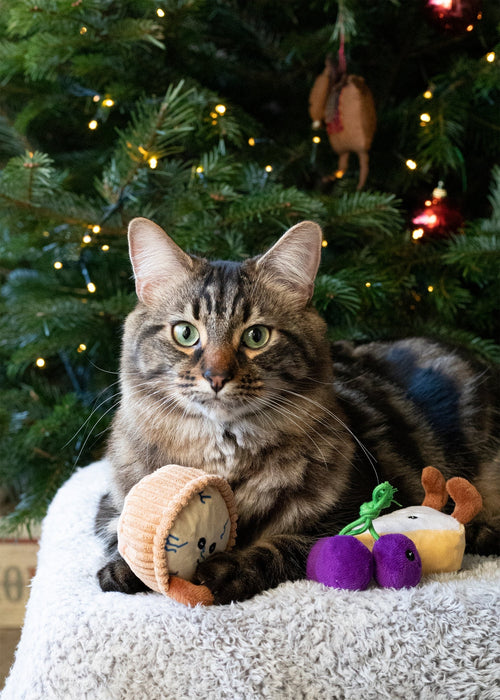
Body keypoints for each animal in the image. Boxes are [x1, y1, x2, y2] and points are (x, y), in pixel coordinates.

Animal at [96, 217, 500, 600]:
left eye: (256, 336)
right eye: (185, 333)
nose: (216, 376)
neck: (225, 457)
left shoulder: (349, 517)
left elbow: (279, 548)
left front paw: (226, 569)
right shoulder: (109, 506)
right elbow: (120, 533)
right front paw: (129, 567)